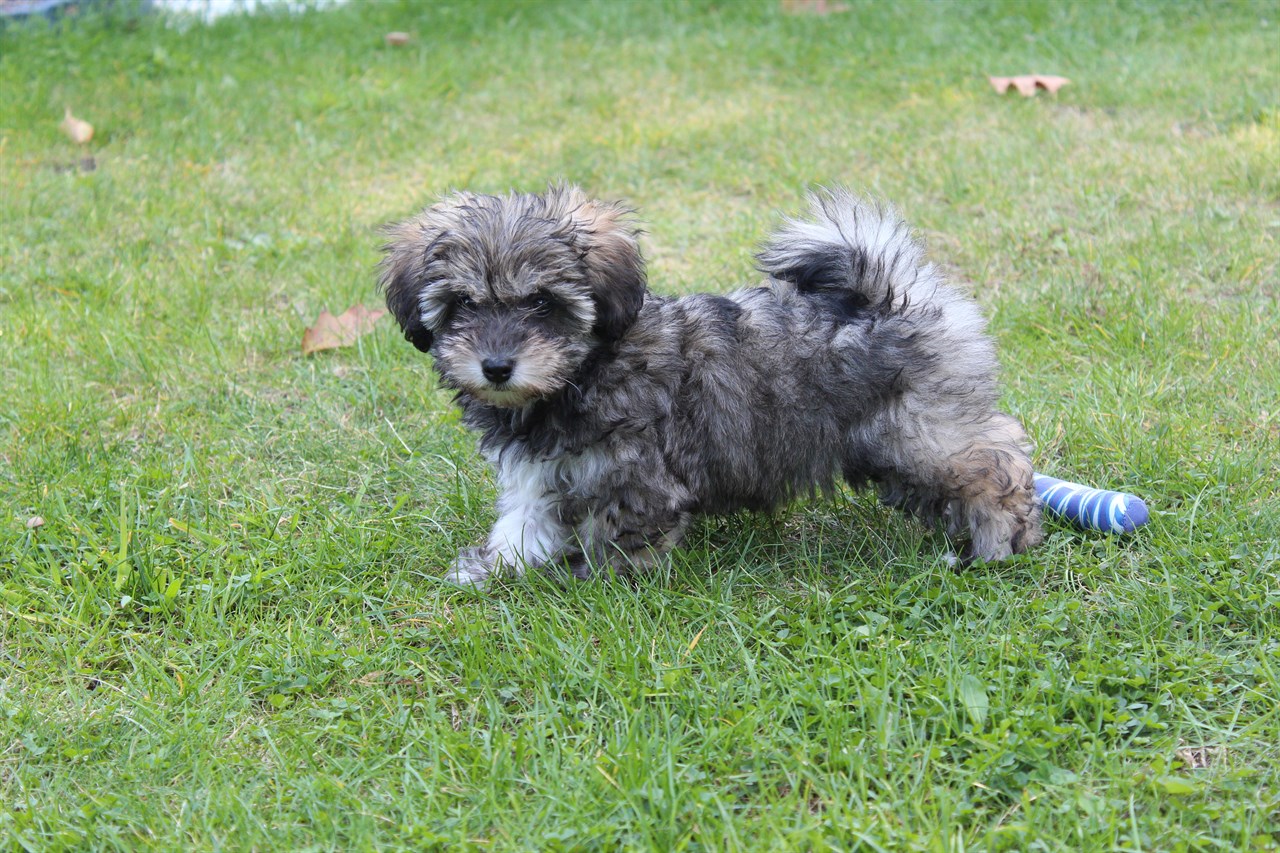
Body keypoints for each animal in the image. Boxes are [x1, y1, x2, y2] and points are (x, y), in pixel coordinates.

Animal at [376, 185, 1039, 584]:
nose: (496, 366)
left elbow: (617, 533)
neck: (581, 374)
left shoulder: (636, 475)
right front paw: (495, 568)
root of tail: (894, 300)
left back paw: (997, 540)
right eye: (463, 304)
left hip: (919, 433)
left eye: (541, 303)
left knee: (997, 459)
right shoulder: (541, 475)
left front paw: (602, 584)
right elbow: (525, 523)